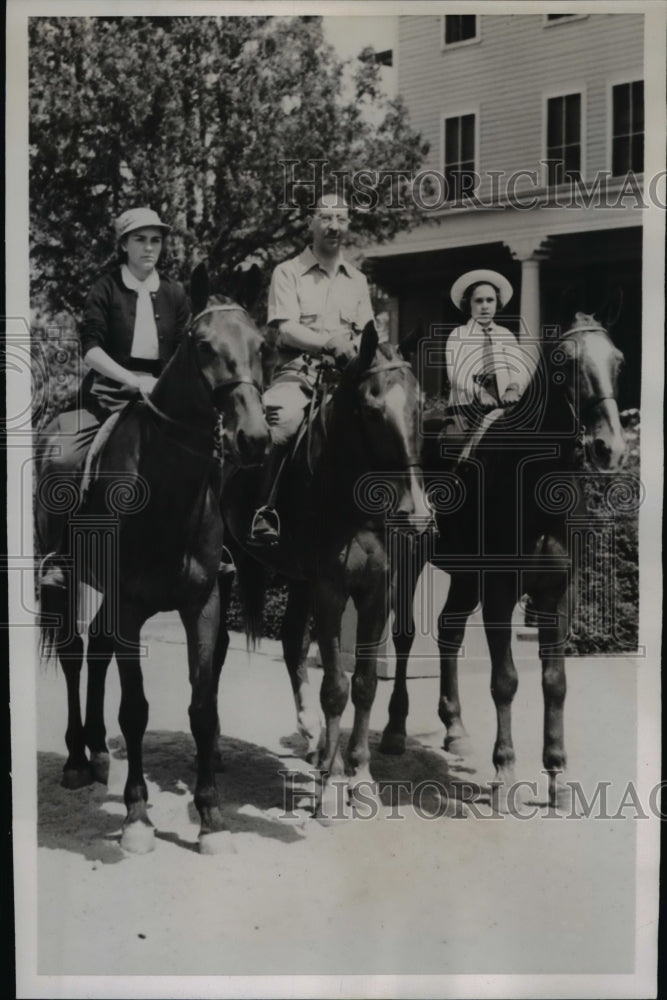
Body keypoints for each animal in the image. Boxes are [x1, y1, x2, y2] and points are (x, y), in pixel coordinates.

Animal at [36, 264, 272, 852]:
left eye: (261, 344)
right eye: (204, 345)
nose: (254, 439)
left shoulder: (204, 605)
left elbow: (202, 707)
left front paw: (210, 815)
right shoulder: (129, 606)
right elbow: (136, 710)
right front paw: (138, 817)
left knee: (96, 653)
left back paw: (99, 752)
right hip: (65, 584)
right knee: (75, 655)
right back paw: (77, 760)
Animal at [222, 324, 436, 816]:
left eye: (419, 406)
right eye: (373, 409)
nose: (416, 513)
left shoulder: (376, 592)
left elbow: (364, 684)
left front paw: (359, 773)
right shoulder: (331, 591)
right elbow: (336, 686)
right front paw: (335, 783)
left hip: (300, 583)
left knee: (290, 642)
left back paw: (314, 736)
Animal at [380, 316, 628, 808]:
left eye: (619, 361)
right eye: (564, 361)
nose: (609, 447)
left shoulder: (557, 594)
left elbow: (554, 682)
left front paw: (557, 775)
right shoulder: (498, 590)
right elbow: (506, 680)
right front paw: (505, 769)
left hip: (464, 577)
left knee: (449, 631)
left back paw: (455, 728)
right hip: (410, 555)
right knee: (404, 637)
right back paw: (395, 730)